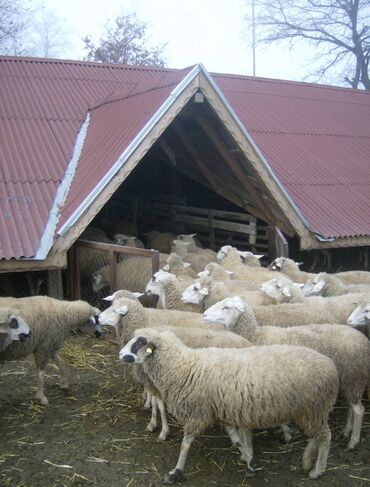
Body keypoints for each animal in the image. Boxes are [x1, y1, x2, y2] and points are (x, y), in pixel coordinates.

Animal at [120, 330, 338, 482]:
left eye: (139, 343)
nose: (120, 354)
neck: (182, 366)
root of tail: (331, 366)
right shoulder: (222, 410)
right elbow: (236, 438)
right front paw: (249, 461)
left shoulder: (197, 413)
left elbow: (185, 444)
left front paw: (176, 472)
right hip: (311, 410)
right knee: (317, 435)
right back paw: (307, 460)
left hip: (313, 408)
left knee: (325, 437)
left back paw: (317, 470)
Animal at [202, 296, 370, 452]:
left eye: (226, 307)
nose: (203, 314)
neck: (256, 335)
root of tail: (364, 340)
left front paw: (286, 433)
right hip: (350, 379)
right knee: (352, 406)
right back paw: (346, 431)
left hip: (354, 377)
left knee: (359, 410)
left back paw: (352, 442)